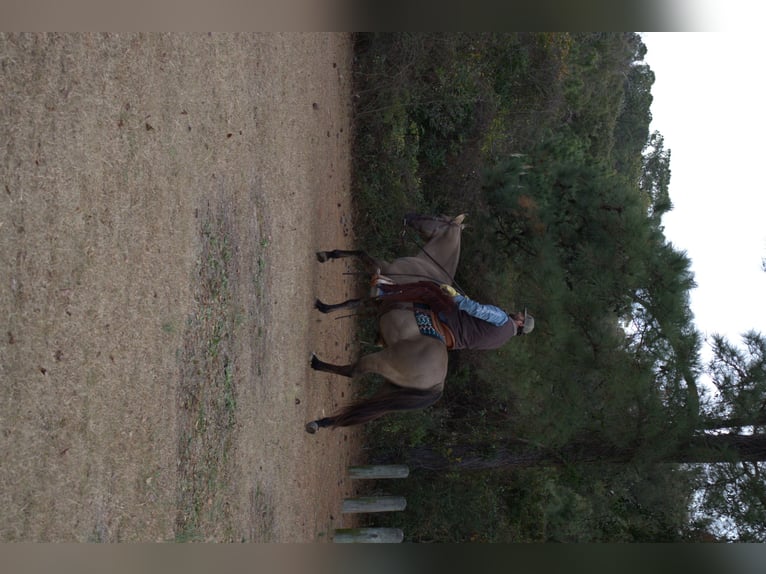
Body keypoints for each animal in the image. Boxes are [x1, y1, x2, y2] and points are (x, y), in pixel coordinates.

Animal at [305, 213, 466, 434]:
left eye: (438, 217)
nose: (409, 217)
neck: (426, 267)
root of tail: (438, 384)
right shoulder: (377, 300)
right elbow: (351, 303)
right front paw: (324, 307)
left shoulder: (383, 270)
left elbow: (361, 253)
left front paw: (326, 255)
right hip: (390, 388)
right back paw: (319, 423)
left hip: (379, 361)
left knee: (351, 371)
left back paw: (316, 363)